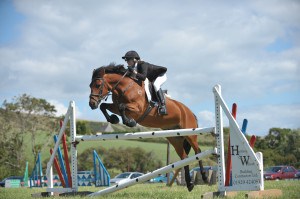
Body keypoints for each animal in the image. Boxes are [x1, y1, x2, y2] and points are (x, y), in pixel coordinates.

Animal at [88, 63, 207, 191]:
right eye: (90, 85)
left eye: (98, 85)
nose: (92, 104)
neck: (124, 87)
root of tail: (190, 112)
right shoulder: (116, 106)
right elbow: (105, 106)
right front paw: (113, 119)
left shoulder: (137, 109)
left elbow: (121, 106)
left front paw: (130, 122)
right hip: (174, 137)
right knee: (184, 156)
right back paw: (190, 184)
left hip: (190, 133)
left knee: (198, 151)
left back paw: (204, 177)